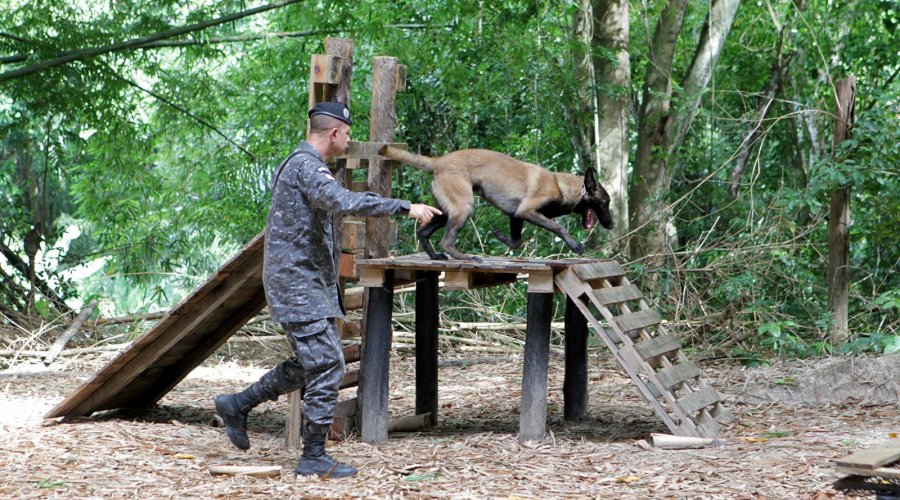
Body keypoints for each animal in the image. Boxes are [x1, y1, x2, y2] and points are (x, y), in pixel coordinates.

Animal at [376, 144, 616, 260]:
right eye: (605, 203)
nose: (612, 225)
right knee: (446, 240)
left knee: (423, 232)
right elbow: (558, 227)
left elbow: (516, 241)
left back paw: (435, 256)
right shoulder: (527, 211)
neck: (560, 185)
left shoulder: (515, 215)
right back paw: (466, 258)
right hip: (463, 208)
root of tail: (439, 161)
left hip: (447, 211)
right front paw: (574, 244)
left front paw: (500, 236)